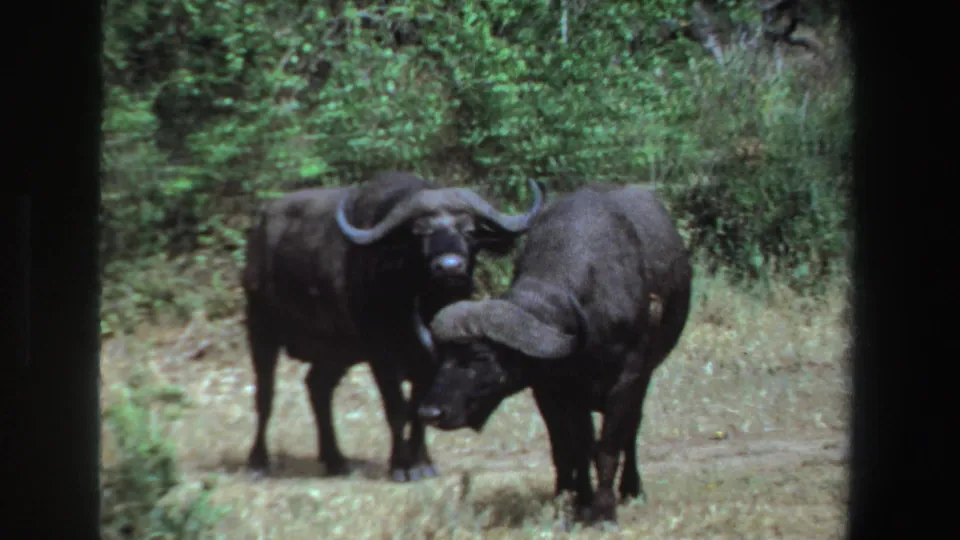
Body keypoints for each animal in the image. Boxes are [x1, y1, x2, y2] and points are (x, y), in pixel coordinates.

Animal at [243, 171, 544, 482]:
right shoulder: (381, 355)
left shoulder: (432, 360)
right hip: (260, 327)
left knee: (318, 386)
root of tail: (261, 224)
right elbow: (397, 409)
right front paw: (400, 465)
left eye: (469, 230)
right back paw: (258, 462)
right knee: (265, 395)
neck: (419, 301)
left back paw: (336, 460)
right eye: (420, 233)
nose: (449, 266)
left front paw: (422, 463)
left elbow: (421, 408)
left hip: (338, 350)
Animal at [414, 184, 693, 524]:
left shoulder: (628, 381)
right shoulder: (551, 390)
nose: (430, 413)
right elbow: (572, 448)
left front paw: (603, 511)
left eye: (481, 358)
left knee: (631, 432)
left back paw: (631, 489)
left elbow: (608, 447)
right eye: (441, 356)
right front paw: (577, 501)